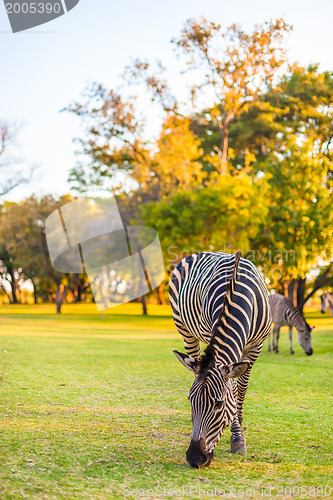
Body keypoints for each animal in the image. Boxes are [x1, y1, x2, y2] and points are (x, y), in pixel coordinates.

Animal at [170, 254, 272, 468]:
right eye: (189, 400)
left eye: (218, 404)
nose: (194, 458)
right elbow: (232, 387)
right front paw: (236, 432)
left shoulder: (256, 346)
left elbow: (240, 389)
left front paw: (238, 435)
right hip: (186, 331)